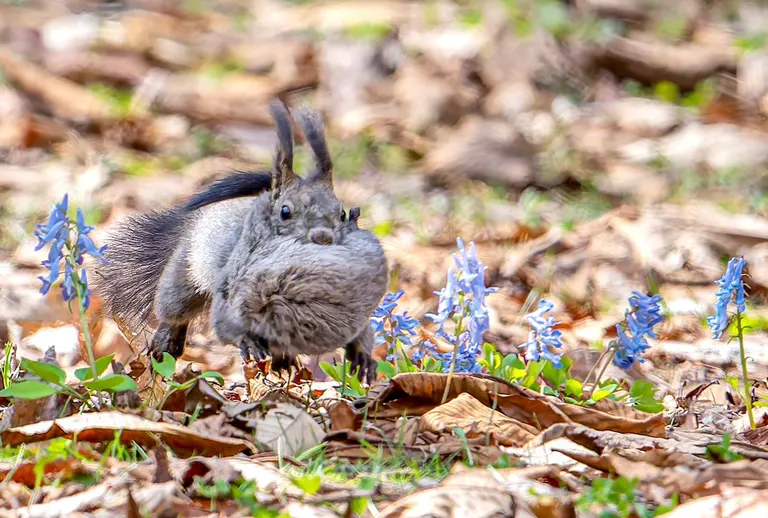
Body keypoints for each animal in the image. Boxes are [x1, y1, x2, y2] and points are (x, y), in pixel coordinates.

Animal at [93, 100, 389, 381]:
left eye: (342, 213)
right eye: (285, 212)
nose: (323, 238)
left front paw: (362, 353)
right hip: (183, 276)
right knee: (173, 310)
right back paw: (167, 341)